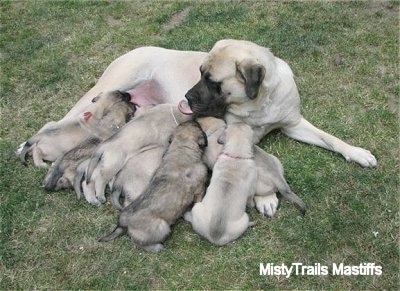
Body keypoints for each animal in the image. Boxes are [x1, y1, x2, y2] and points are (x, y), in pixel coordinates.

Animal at [99, 121, 209, 253]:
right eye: (198, 126)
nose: (195, 120)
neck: (181, 149)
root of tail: (123, 220)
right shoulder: (199, 189)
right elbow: (199, 200)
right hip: (162, 227)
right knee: (139, 243)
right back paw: (157, 247)